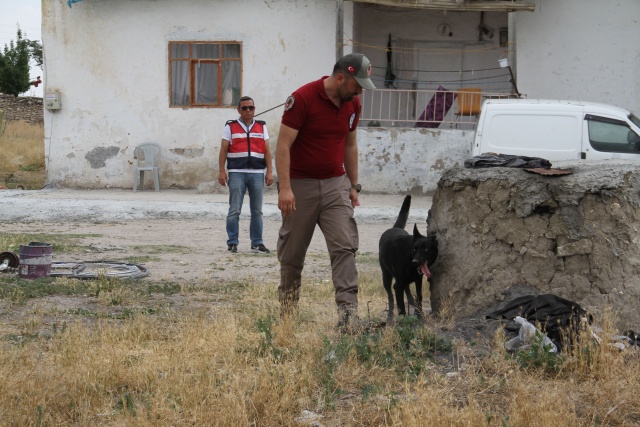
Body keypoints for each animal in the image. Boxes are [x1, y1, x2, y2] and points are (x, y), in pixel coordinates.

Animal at [378, 195, 438, 324]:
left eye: (426, 249)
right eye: (414, 249)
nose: (415, 262)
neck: (409, 258)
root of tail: (394, 227)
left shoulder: (418, 280)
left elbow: (419, 296)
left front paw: (419, 315)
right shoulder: (399, 284)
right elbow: (400, 304)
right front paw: (404, 319)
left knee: (407, 292)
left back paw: (411, 302)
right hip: (386, 275)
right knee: (390, 296)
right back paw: (390, 315)